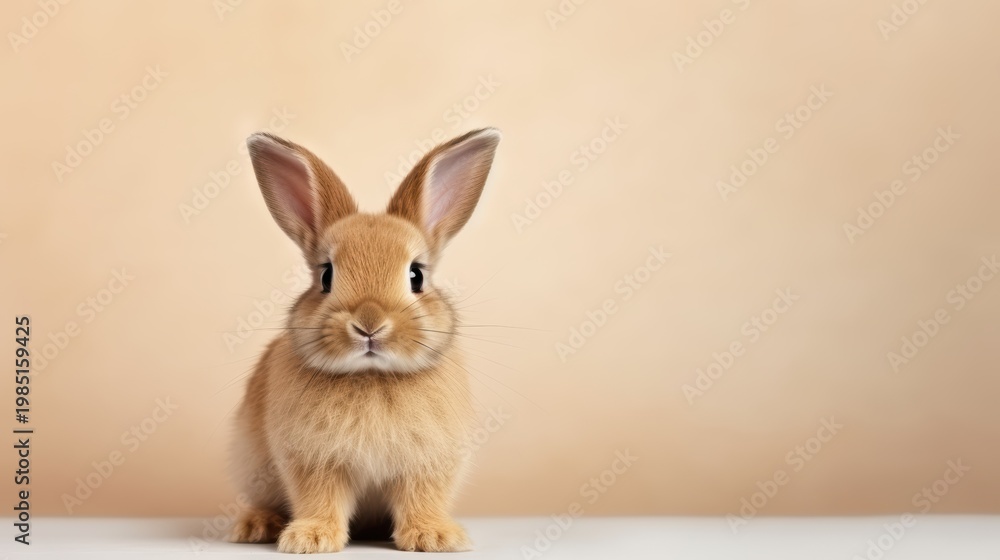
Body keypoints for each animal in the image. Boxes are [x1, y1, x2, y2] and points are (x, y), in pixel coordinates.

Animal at [227, 128, 501, 553]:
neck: (372, 376)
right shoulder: (314, 461)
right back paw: (257, 526)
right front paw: (310, 539)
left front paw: (434, 537)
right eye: (326, 275)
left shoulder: (427, 463)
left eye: (416, 275)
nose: (369, 324)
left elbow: (422, 497)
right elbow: (319, 498)